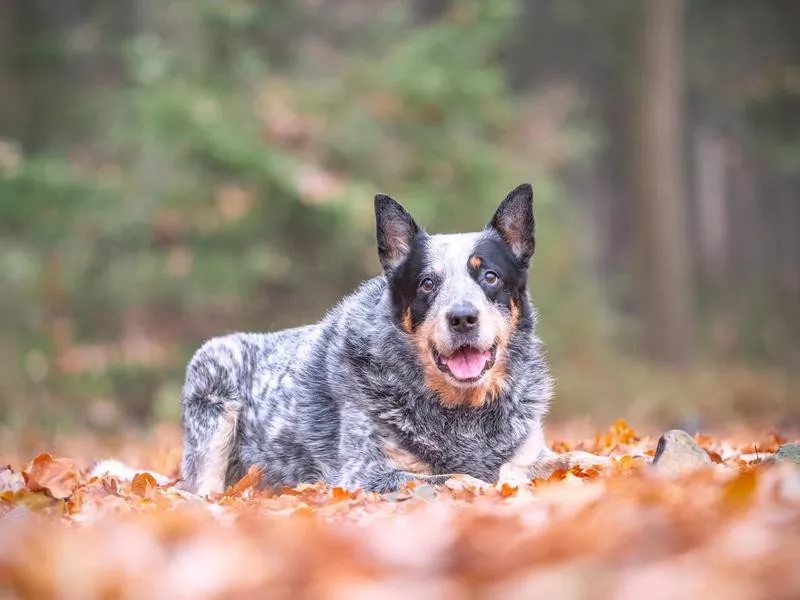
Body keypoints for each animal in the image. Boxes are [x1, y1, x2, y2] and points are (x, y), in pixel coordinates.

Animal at [178, 185, 608, 494]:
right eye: (427, 283)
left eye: (490, 276)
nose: (462, 317)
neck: (466, 413)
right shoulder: (364, 474)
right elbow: (452, 477)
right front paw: (483, 482)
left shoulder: (530, 450)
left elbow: (568, 457)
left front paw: (606, 464)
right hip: (214, 375)